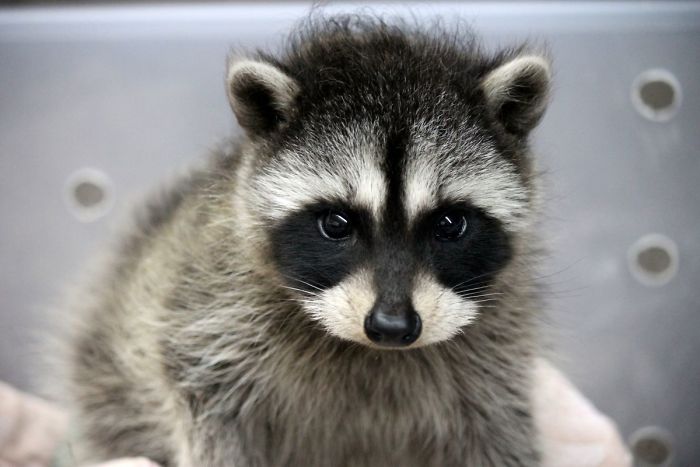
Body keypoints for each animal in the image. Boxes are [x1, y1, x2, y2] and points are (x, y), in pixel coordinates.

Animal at [60, 16, 552, 467]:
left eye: (449, 224)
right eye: (336, 224)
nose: (392, 327)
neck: (369, 350)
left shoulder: (496, 354)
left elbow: (499, 430)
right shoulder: (207, 311)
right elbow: (211, 411)